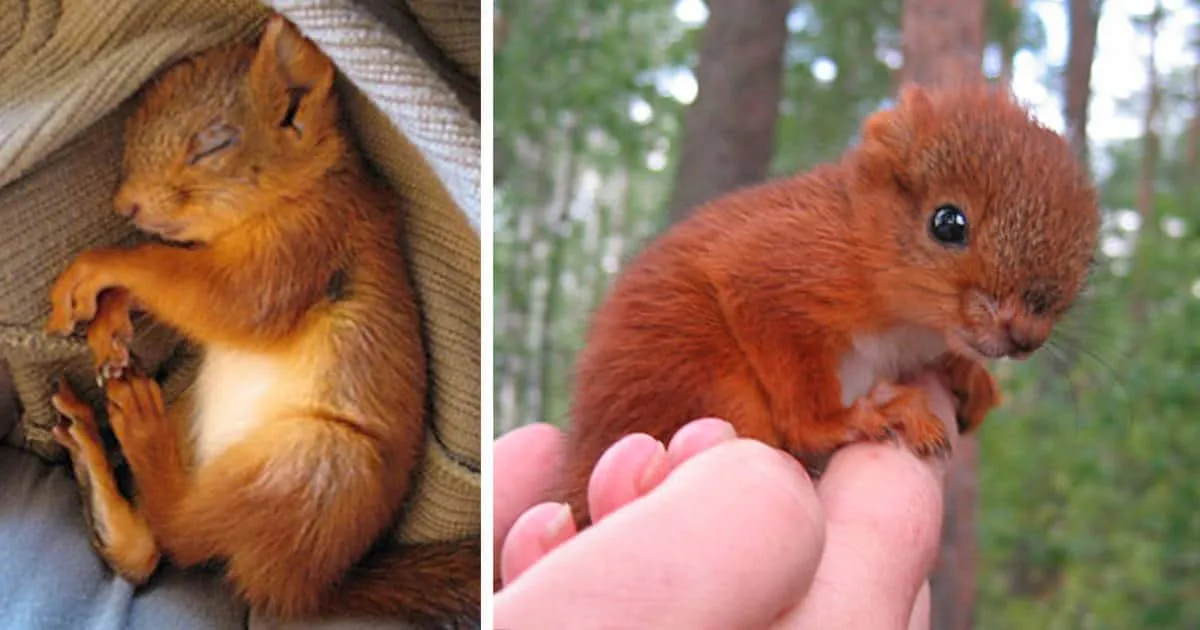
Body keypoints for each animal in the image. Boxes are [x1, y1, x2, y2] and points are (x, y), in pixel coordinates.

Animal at [42, 14, 479, 623]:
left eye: (216, 142)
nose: (125, 205)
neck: (310, 184)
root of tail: (310, 585)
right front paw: (108, 322)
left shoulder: (309, 241)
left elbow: (230, 299)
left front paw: (97, 270)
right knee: (148, 551)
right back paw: (91, 447)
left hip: (314, 468)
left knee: (178, 535)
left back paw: (137, 422)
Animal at [558, 85, 1100, 527]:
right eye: (947, 223)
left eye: (1089, 257)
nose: (1026, 336)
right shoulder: (773, 272)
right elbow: (800, 391)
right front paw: (841, 421)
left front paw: (970, 375)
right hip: (692, 374)